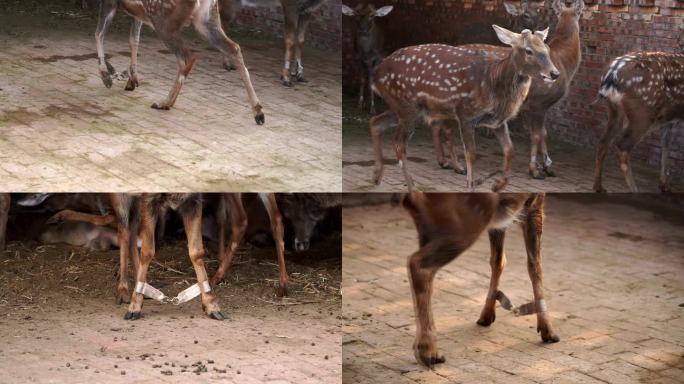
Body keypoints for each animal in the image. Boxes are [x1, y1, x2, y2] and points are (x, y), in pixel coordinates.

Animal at [95, 0, 264, 124]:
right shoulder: (138, 12)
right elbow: (133, 40)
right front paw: (132, 80)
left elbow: (99, 33)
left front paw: (106, 76)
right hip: (206, 18)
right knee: (234, 48)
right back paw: (258, 112)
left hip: (163, 20)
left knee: (187, 57)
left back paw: (164, 102)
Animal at [372, 25, 560, 190]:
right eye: (528, 50)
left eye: (546, 49)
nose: (555, 73)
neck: (493, 85)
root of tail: (376, 75)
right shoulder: (466, 114)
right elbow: (471, 154)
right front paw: (471, 185)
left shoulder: (497, 121)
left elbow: (509, 150)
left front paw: (498, 185)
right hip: (406, 106)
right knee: (398, 143)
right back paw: (411, 187)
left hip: (406, 108)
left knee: (375, 122)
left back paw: (377, 176)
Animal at [400, 194, 556, 368]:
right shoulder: (535, 202)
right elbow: (535, 265)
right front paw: (548, 331)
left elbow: (497, 260)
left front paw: (486, 316)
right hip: (464, 220)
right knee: (419, 265)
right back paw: (429, 352)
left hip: (427, 226)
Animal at [592, 52, 684, 194]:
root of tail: (611, 74)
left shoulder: (668, 119)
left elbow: (666, 144)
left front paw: (664, 185)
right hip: (643, 113)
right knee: (623, 145)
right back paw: (635, 190)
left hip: (615, 111)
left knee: (603, 142)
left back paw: (599, 187)